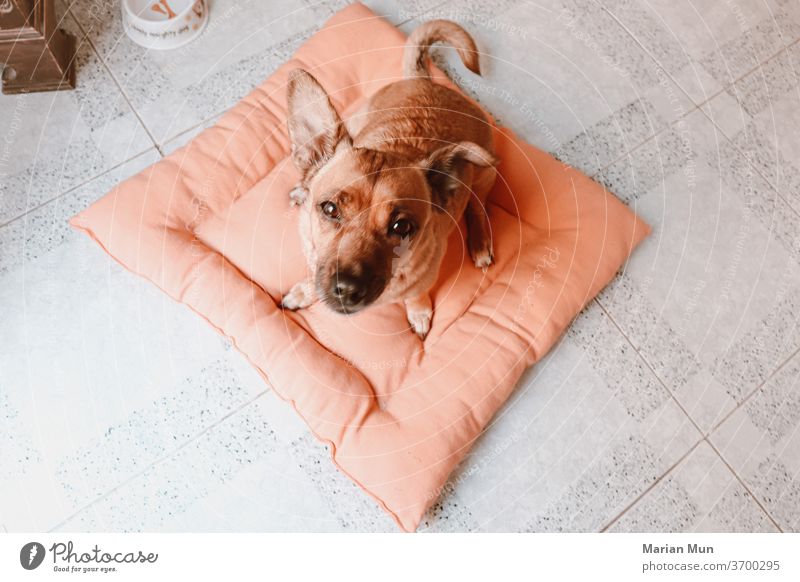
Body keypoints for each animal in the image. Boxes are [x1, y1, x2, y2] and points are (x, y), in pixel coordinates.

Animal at [280, 20, 494, 340]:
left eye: (401, 227)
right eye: (330, 209)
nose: (347, 289)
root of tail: (425, 80)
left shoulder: (423, 280)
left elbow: (416, 296)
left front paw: (418, 313)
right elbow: (311, 271)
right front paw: (305, 292)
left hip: (484, 173)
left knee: (477, 206)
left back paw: (480, 242)